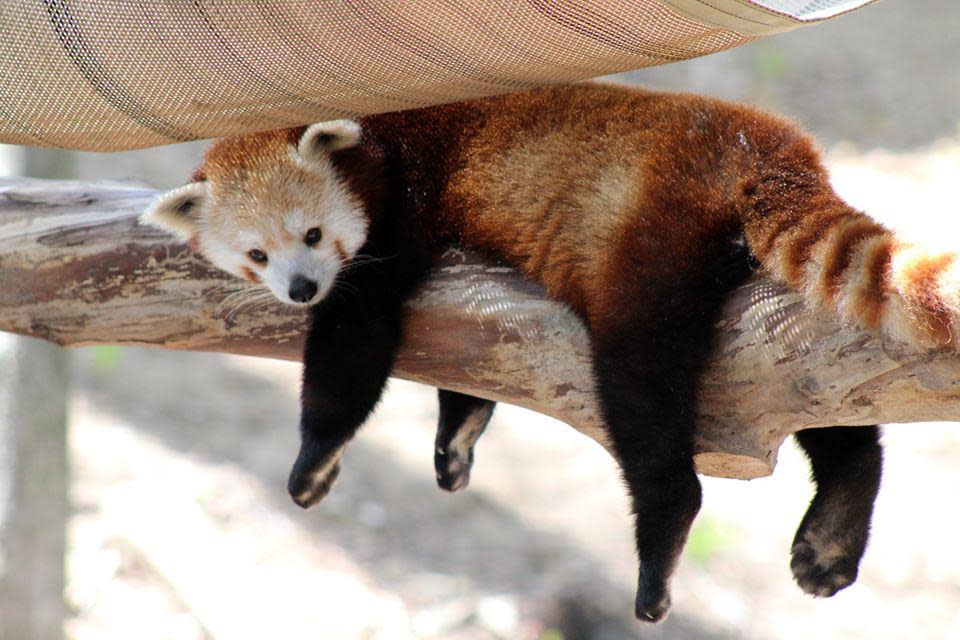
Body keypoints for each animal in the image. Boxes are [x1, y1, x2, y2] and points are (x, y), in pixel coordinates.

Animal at [144, 82, 960, 624]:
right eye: (256, 253)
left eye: (312, 235)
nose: (302, 287)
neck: (373, 133)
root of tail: (762, 140)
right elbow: (468, 367)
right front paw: (455, 442)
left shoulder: (399, 209)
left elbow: (355, 344)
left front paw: (313, 459)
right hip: (763, 312)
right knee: (822, 402)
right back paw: (835, 530)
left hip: (653, 235)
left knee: (643, 390)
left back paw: (663, 538)